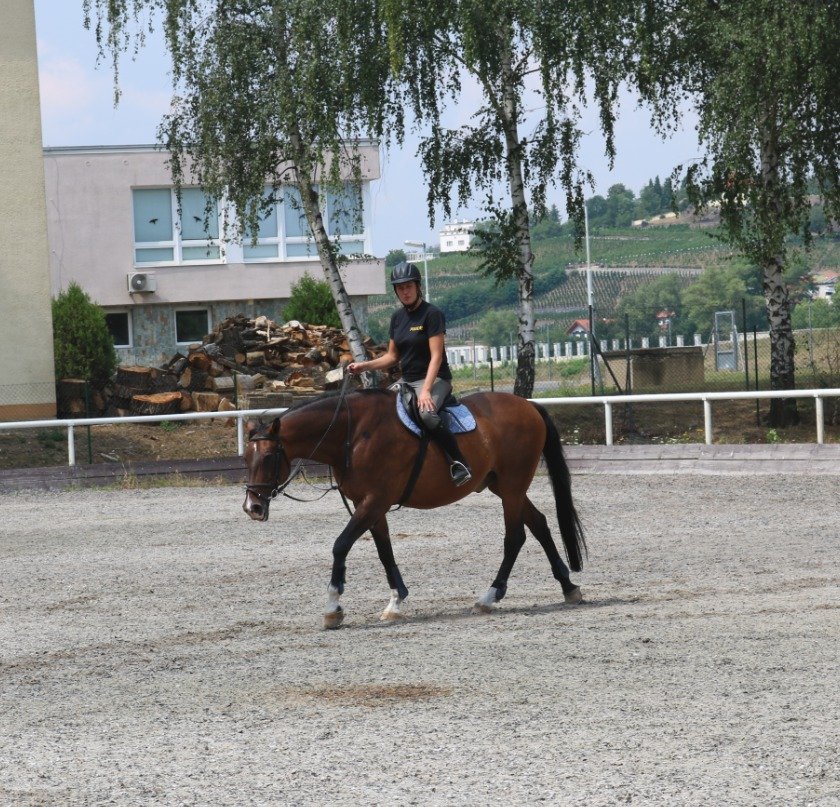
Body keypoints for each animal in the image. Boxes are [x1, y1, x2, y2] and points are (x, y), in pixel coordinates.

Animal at [241, 388, 584, 628]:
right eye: (246, 457)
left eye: (269, 457)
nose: (252, 507)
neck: (353, 434)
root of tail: (528, 405)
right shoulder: (368, 504)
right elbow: (384, 551)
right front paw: (396, 601)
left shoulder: (375, 500)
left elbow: (341, 545)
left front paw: (333, 608)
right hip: (503, 486)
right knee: (539, 524)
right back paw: (568, 586)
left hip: (512, 486)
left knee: (515, 538)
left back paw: (489, 596)